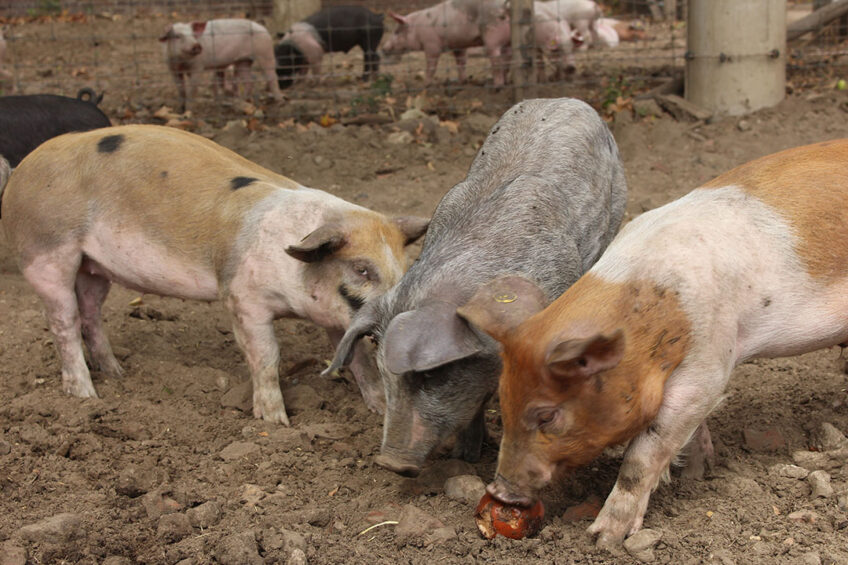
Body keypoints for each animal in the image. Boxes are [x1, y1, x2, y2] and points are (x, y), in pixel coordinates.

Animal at [382, 0, 510, 86]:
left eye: (396, 32)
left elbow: (431, 66)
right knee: (506, 59)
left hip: (492, 34)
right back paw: (505, 81)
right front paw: (462, 82)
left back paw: (497, 86)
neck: (417, 29)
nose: (384, 48)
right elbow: (461, 63)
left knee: (496, 60)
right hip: (506, 41)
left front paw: (425, 85)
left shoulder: (431, 44)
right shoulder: (459, 45)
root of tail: (505, 6)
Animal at [460, 140, 848, 548]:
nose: (500, 491)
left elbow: (643, 454)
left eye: (547, 415)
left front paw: (604, 539)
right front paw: (697, 473)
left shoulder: (710, 360)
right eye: (503, 402)